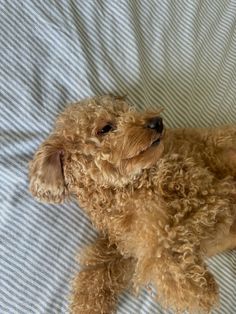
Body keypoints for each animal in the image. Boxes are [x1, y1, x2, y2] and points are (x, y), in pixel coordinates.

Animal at [28, 94, 236, 312]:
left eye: (127, 110)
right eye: (105, 128)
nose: (157, 121)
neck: (124, 190)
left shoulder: (209, 197)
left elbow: (161, 246)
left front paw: (195, 290)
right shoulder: (127, 245)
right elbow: (98, 267)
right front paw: (88, 304)